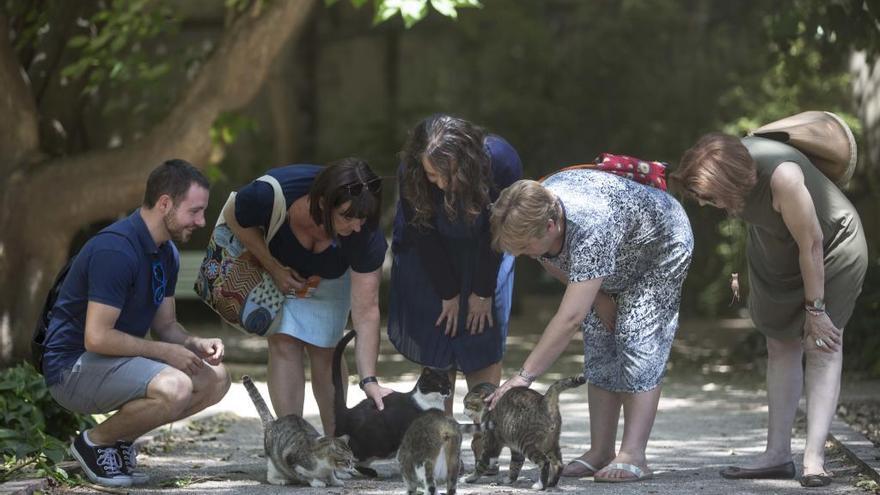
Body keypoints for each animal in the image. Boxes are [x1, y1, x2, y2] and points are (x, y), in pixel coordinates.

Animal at [332, 332, 450, 478]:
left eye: (449, 385)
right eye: (439, 385)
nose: (448, 392)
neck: (430, 403)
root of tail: (348, 412)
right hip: (369, 444)